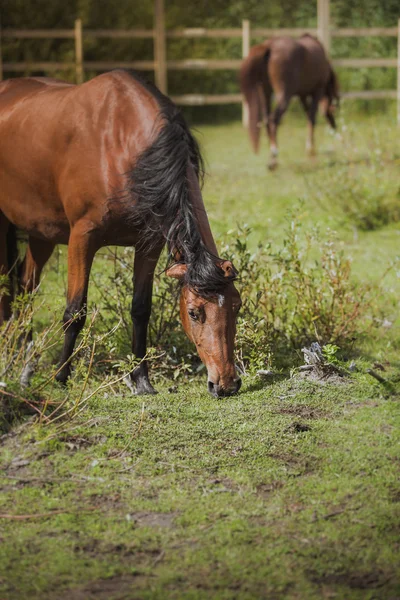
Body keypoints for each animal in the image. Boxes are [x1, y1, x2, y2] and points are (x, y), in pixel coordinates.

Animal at [0, 70, 242, 396]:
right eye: (194, 312)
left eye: (237, 306)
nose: (226, 384)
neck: (120, 146)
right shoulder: (82, 238)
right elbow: (75, 311)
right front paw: (61, 377)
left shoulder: (149, 244)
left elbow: (140, 310)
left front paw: (141, 379)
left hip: (42, 232)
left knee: (26, 287)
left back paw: (26, 366)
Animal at [239, 34, 340, 169]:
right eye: (333, 109)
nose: (335, 127)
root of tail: (269, 46)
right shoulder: (317, 91)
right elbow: (312, 118)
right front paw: (310, 149)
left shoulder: (302, 95)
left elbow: (308, 116)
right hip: (284, 94)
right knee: (273, 120)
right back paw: (274, 155)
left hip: (265, 92)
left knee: (267, 120)